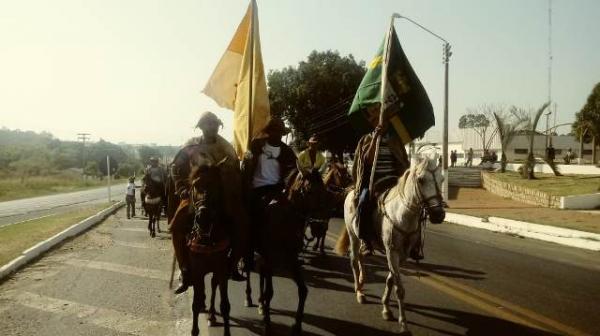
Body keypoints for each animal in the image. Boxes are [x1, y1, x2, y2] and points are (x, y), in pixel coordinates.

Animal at [338, 157, 446, 334]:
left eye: (442, 179)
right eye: (421, 180)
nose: (439, 215)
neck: (402, 215)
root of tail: (351, 190)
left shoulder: (401, 255)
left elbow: (390, 280)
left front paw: (386, 309)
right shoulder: (391, 251)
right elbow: (399, 288)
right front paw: (403, 324)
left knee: (361, 255)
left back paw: (362, 281)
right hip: (353, 235)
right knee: (353, 259)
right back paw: (359, 291)